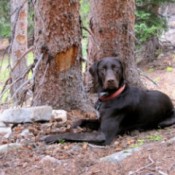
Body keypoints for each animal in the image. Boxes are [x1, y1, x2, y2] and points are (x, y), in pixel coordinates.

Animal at [44, 57, 175, 145]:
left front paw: (51, 137)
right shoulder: (98, 120)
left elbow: (75, 135)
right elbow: (82, 120)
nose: (110, 81)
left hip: (164, 122)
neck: (110, 96)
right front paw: (68, 125)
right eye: (102, 69)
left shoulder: (102, 135)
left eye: (116, 68)